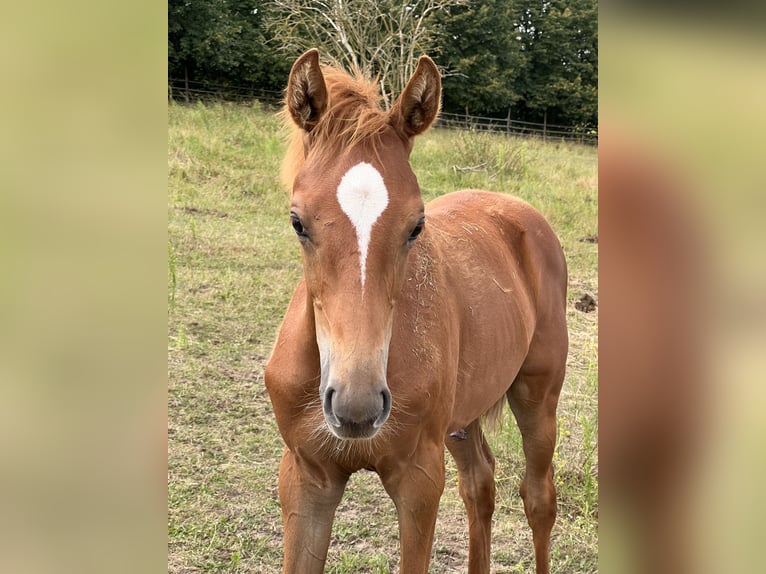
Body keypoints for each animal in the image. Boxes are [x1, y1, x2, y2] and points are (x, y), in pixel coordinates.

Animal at [266, 50, 568, 574]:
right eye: (297, 221)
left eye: (416, 225)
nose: (357, 406)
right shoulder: (306, 477)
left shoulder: (420, 480)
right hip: (464, 414)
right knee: (480, 484)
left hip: (537, 397)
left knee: (538, 498)